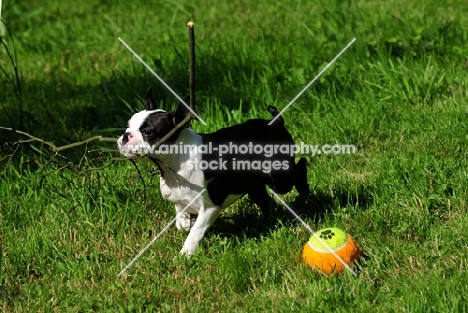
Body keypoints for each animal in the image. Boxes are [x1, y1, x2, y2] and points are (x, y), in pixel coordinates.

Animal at [119, 86, 308, 255]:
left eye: (147, 132)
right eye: (127, 126)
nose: (126, 135)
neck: (173, 164)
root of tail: (276, 123)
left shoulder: (210, 207)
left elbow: (195, 232)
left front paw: (186, 254)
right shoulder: (181, 201)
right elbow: (182, 223)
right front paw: (186, 226)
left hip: (280, 178)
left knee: (300, 166)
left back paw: (303, 190)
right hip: (255, 185)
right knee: (265, 199)